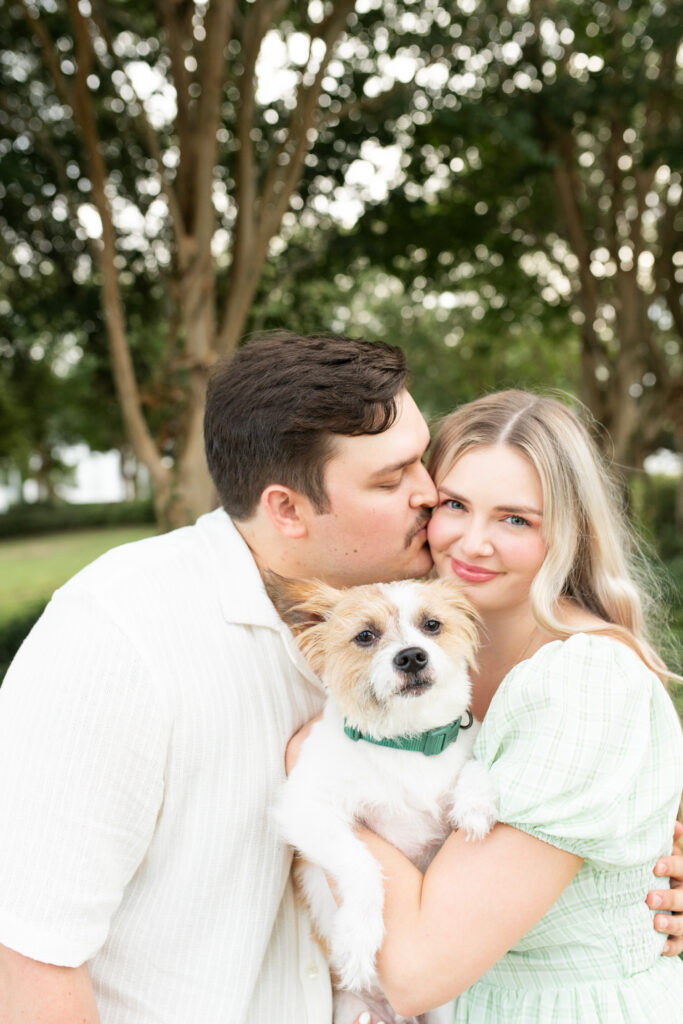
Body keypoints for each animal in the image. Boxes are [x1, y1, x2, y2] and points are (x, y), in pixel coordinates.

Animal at [266, 577, 497, 1024]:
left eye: (432, 625)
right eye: (365, 636)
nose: (411, 657)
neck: (406, 743)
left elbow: (474, 763)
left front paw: (475, 802)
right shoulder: (305, 809)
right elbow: (362, 866)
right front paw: (358, 938)